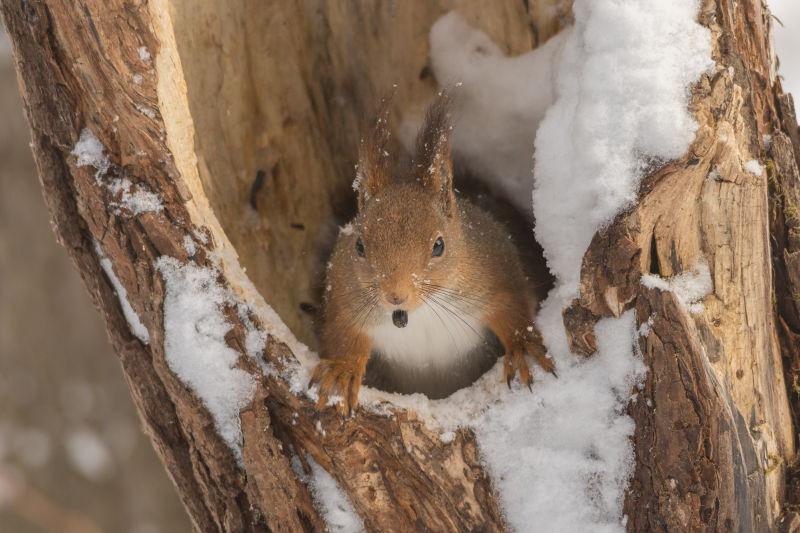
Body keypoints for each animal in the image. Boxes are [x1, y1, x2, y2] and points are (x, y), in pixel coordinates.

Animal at [310, 94, 552, 416]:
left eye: (439, 245)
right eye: (359, 246)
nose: (395, 295)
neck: (418, 312)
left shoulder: (494, 268)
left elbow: (512, 306)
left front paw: (522, 346)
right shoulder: (343, 293)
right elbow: (342, 331)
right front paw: (341, 368)